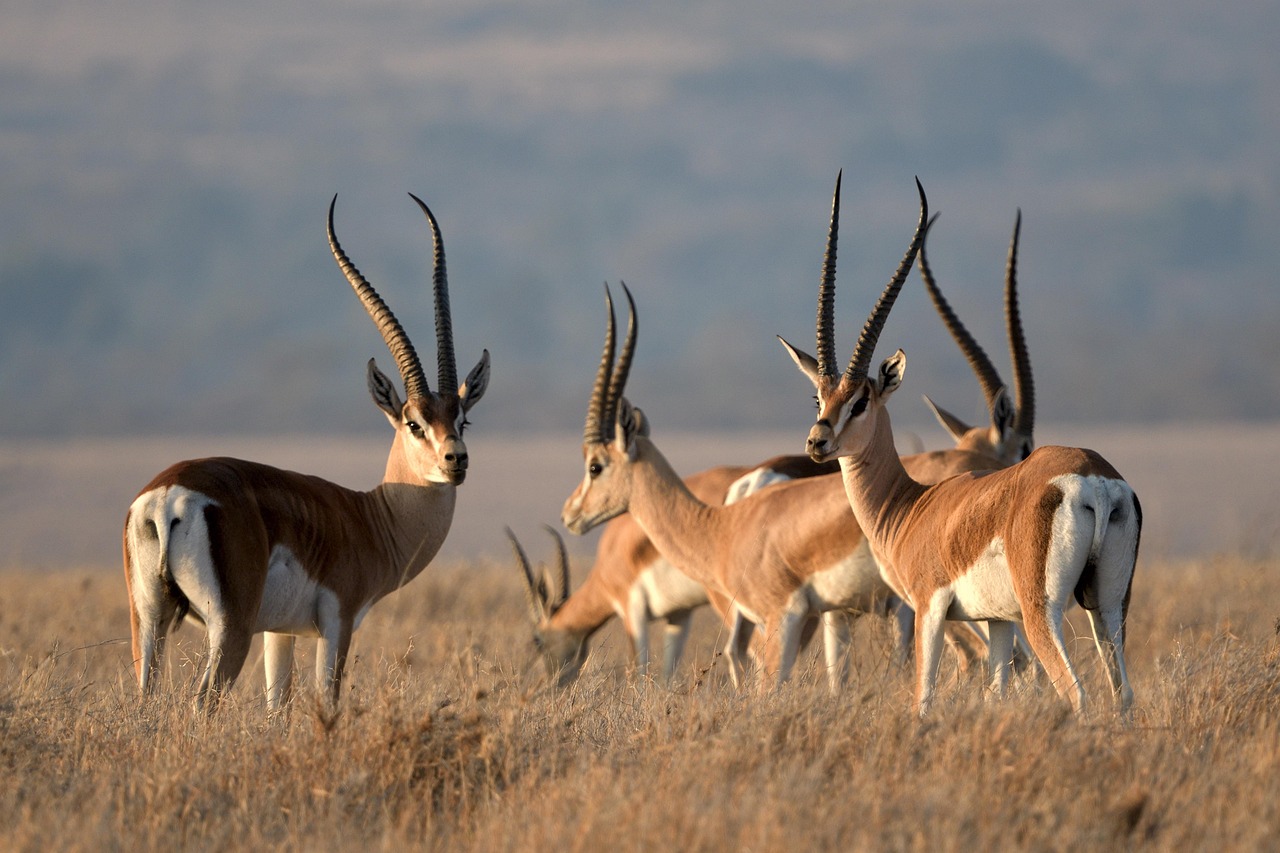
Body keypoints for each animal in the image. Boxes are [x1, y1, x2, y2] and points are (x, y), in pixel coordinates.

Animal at [122, 194, 491, 713]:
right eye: (414, 424)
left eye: (462, 421)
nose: (455, 460)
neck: (369, 517)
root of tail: (168, 496)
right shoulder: (338, 623)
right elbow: (326, 701)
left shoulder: (281, 633)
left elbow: (278, 707)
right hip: (230, 627)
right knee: (203, 701)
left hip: (148, 621)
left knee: (145, 696)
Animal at [780, 177, 1140, 715]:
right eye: (819, 396)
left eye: (861, 401)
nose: (817, 441)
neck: (911, 507)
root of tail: (1093, 477)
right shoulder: (998, 621)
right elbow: (996, 691)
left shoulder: (929, 609)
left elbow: (923, 697)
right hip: (1109, 607)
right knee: (1123, 696)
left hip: (1042, 612)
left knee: (1077, 693)